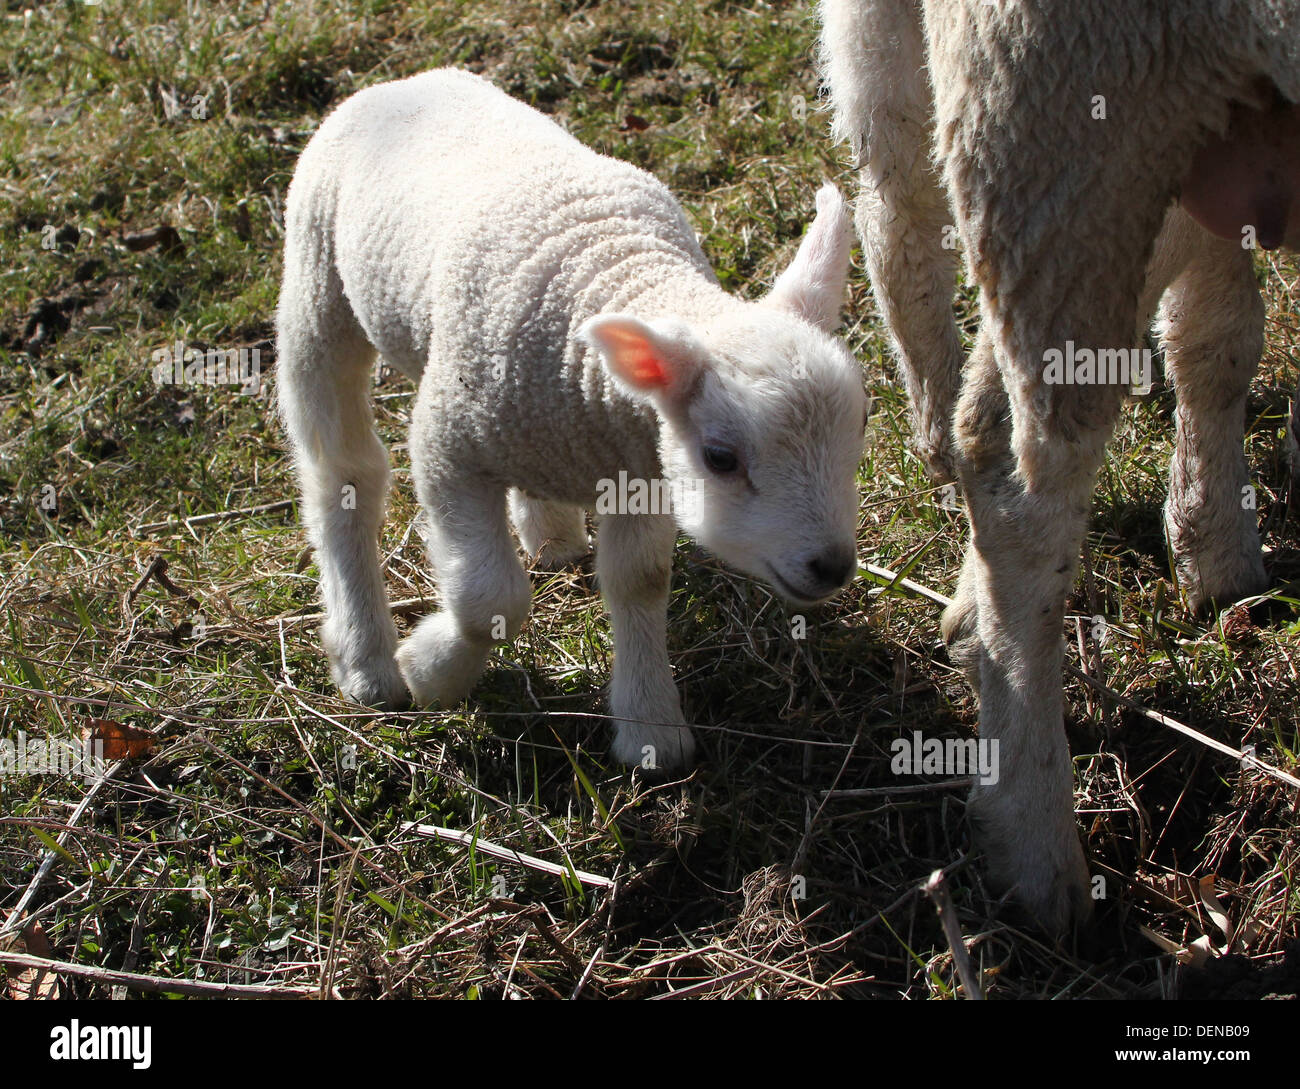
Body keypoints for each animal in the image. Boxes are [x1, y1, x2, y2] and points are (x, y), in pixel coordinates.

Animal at [276, 68, 868, 773]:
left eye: (862, 430)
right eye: (721, 458)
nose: (832, 567)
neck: (619, 268)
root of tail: (405, 81)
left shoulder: (639, 465)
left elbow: (639, 581)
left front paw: (650, 728)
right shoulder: (448, 447)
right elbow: (490, 598)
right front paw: (433, 671)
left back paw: (550, 532)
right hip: (317, 275)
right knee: (343, 471)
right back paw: (366, 656)